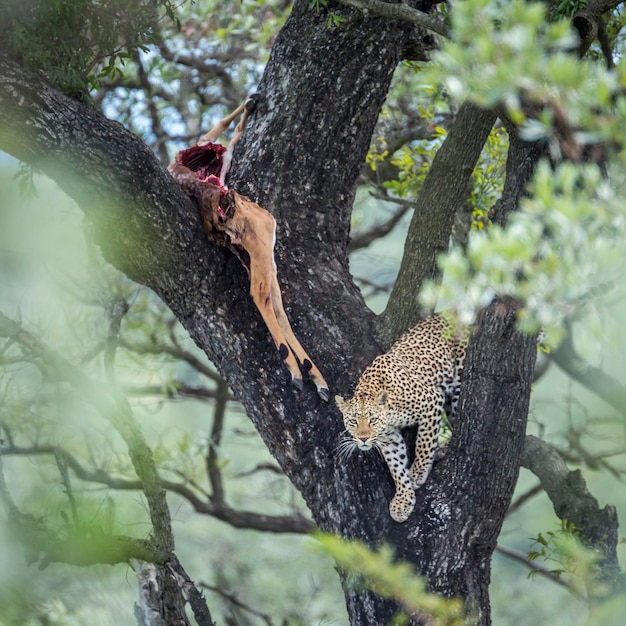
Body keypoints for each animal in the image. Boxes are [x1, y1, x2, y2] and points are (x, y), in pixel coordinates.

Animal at [334, 312, 466, 520]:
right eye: (353, 421)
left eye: (372, 420)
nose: (363, 439)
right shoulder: (389, 438)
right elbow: (396, 467)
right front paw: (402, 501)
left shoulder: (431, 401)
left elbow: (424, 442)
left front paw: (418, 473)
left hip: (458, 383)